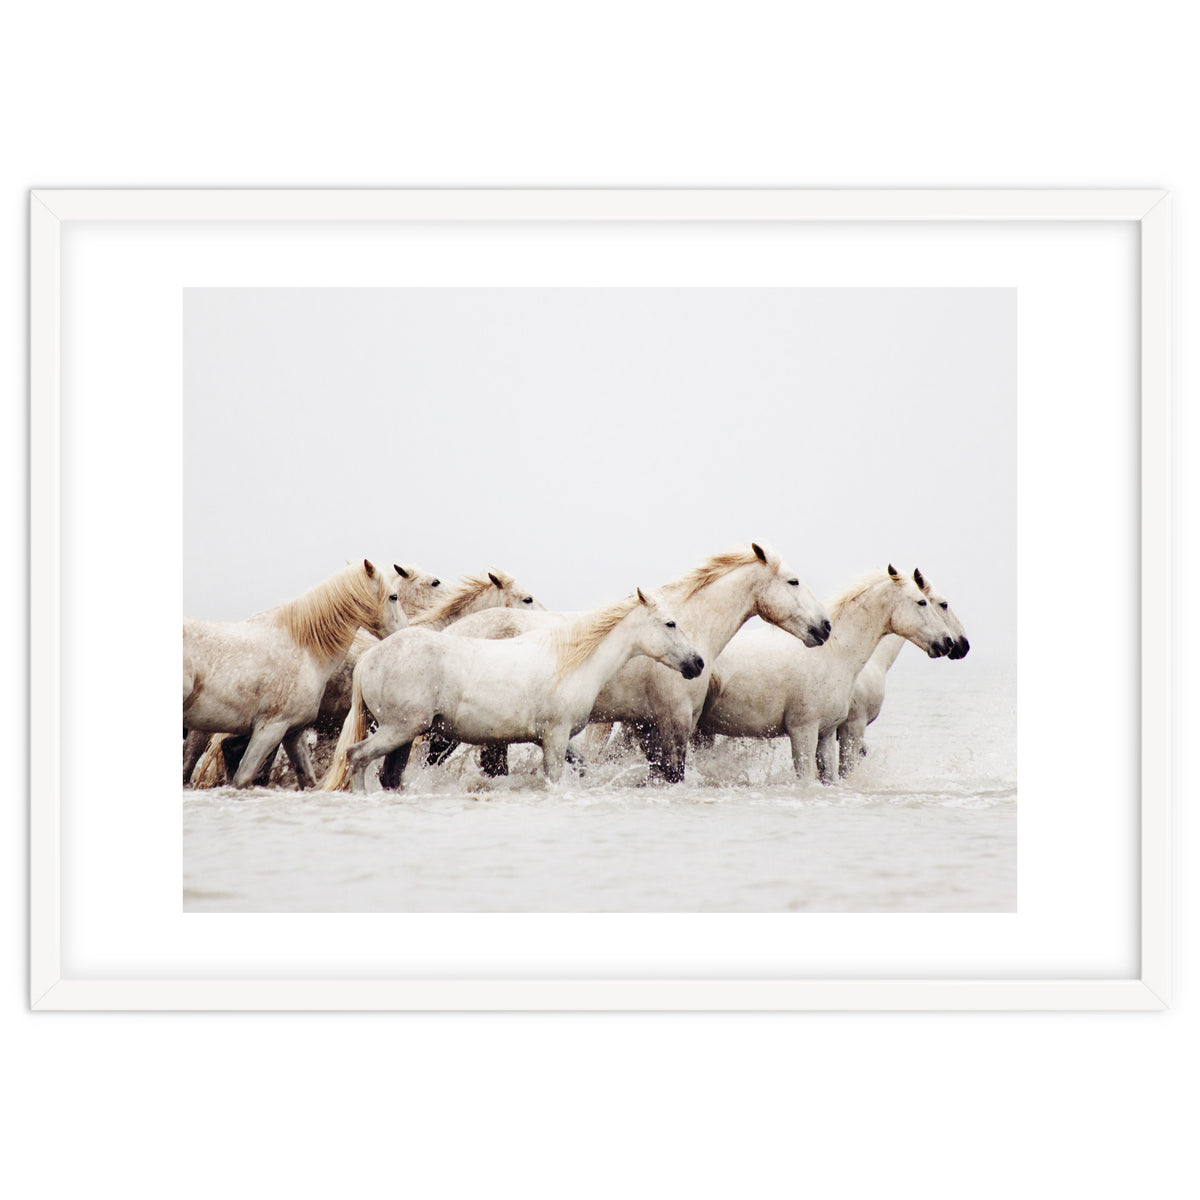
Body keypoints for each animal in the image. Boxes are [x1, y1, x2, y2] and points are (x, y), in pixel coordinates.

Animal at [185, 559, 442, 786]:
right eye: (393, 596)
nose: (405, 632)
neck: (305, 649)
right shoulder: (270, 728)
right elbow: (244, 777)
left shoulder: (292, 731)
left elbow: (306, 778)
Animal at [320, 588, 705, 792]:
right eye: (670, 623)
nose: (697, 663)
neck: (570, 661)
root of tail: (370, 656)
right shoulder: (554, 737)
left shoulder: (555, 740)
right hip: (399, 729)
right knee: (357, 757)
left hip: (404, 734)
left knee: (389, 775)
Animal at [415, 543, 831, 784]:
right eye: (793, 581)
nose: (824, 627)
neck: (688, 625)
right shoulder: (674, 722)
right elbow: (674, 773)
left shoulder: (646, 726)